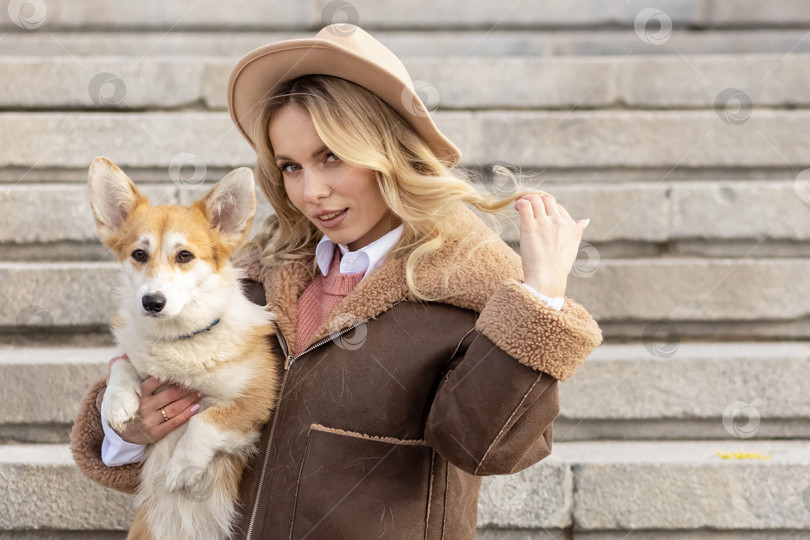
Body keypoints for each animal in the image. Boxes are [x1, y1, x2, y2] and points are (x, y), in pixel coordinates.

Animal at [87, 156, 280, 540]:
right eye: (139, 254)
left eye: (185, 255)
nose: (152, 302)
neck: (181, 339)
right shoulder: (135, 358)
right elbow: (122, 364)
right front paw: (117, 403)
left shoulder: (256, 398)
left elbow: (205, 422)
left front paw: (182, 468)